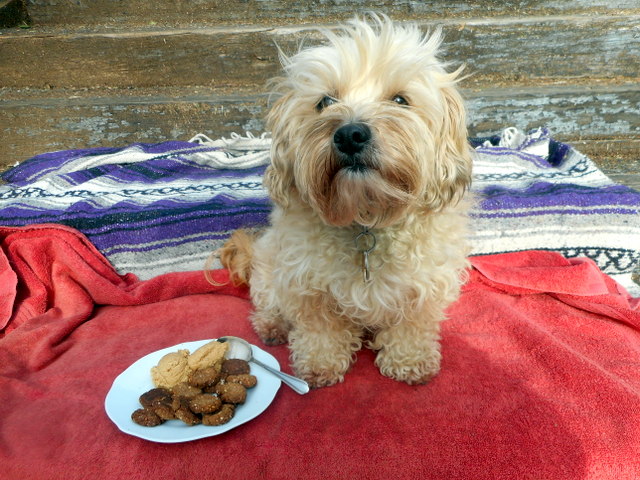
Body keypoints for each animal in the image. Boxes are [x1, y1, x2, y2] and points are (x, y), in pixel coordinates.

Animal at [218, 15, 472, 388]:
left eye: (400, 99)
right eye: (325, 101)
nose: (351, 134)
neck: (366, 218)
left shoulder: (421, 287)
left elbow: (411, 326)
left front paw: (409, 361)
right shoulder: (307, 285)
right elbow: (319, 329)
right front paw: (320, 363)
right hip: (269, 267)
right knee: (267, 300)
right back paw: (272, 325)